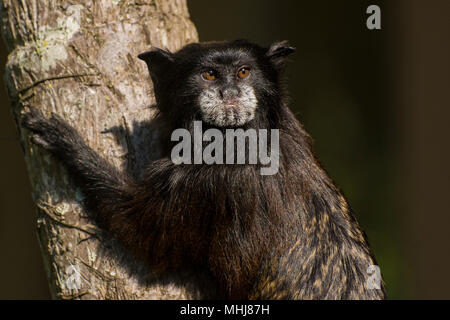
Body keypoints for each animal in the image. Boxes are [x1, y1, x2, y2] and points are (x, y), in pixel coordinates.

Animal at [22, 40, 386, 300]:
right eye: (209, 75)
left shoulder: (208, 178)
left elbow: (138, 231)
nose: (230, 92)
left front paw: (66, 142)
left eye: (244, 72)